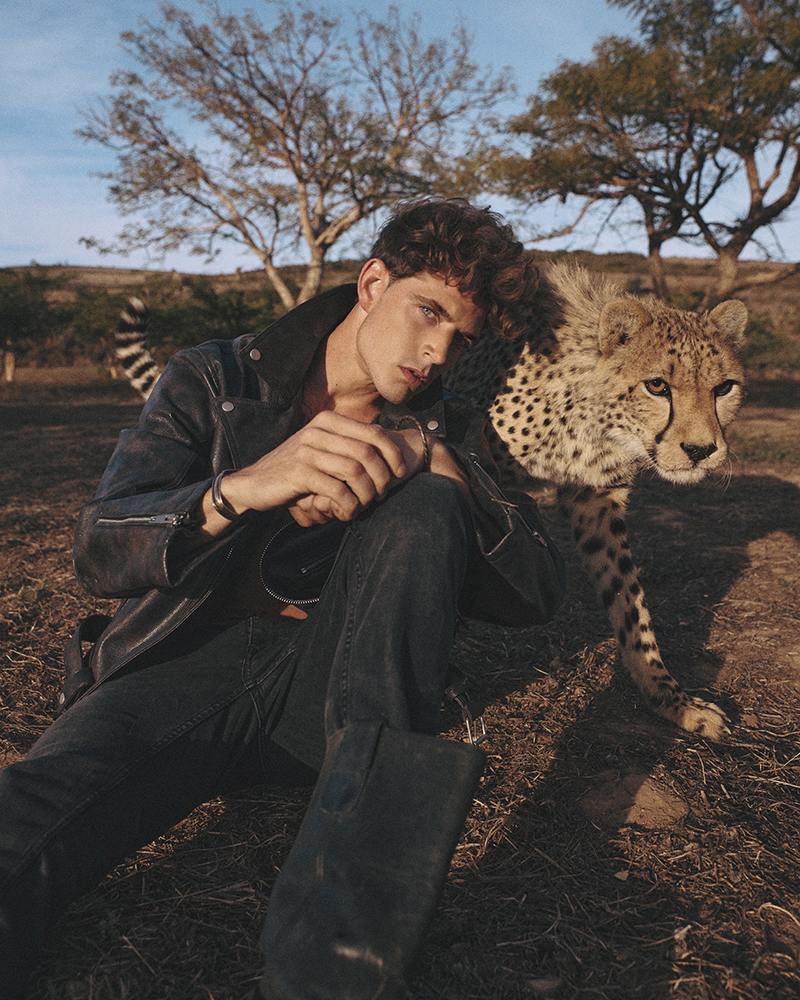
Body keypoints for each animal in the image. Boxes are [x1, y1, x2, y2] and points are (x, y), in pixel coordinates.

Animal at [444, 260, 747, 740]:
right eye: (657, 385)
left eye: (724, 389)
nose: (701, 450)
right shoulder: (484, 474)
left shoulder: (597, 500)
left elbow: (629, 602)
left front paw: (672, 701)